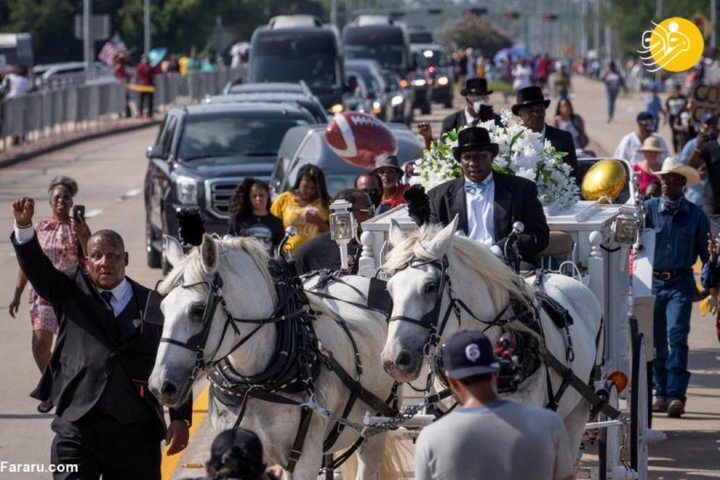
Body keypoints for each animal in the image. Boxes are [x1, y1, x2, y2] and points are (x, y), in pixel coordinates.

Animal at [148, 234, 400, 478]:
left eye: (198, 310)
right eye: (162, 309)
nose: (160, 387)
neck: (253, 385)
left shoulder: (305, 458)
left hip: (374, 433)